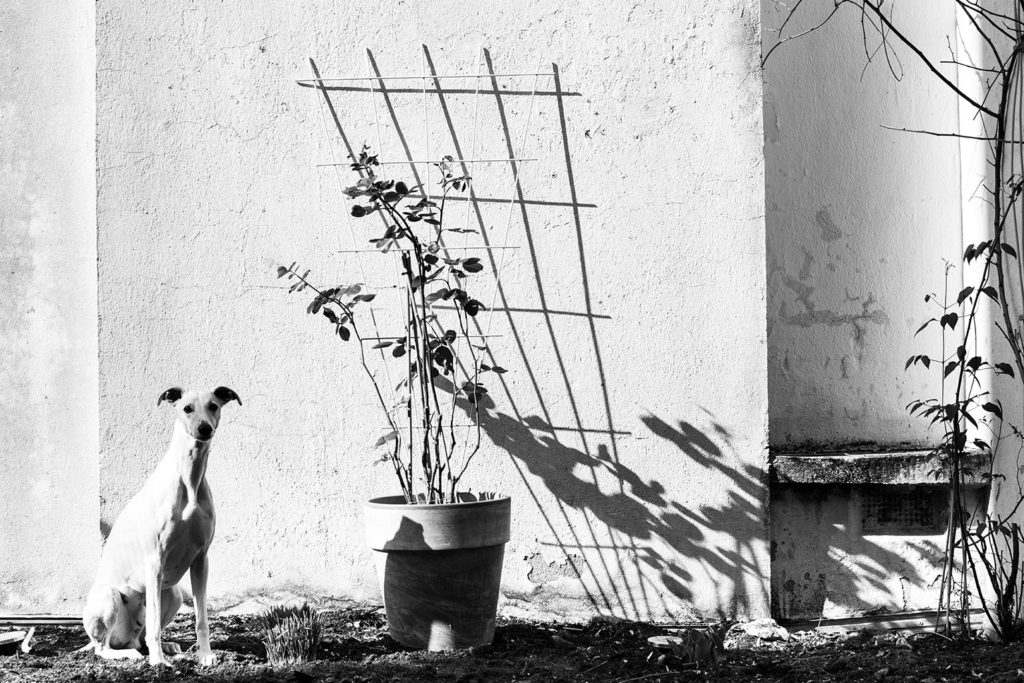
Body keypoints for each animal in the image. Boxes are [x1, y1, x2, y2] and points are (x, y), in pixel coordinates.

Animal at [80, 387, 240, 663]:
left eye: (214, 405)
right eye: (187, 408)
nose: (204, 429)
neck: (189, 477)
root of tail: (127, 637)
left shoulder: (201, 559)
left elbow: (201, 619)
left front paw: (205, 656)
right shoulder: (155, 560)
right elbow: (154, 623)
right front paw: (157, 662)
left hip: (174, 594)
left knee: (142, 635)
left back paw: (166, 646)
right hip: (110, 597)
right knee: (105, 648)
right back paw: (132, 654)